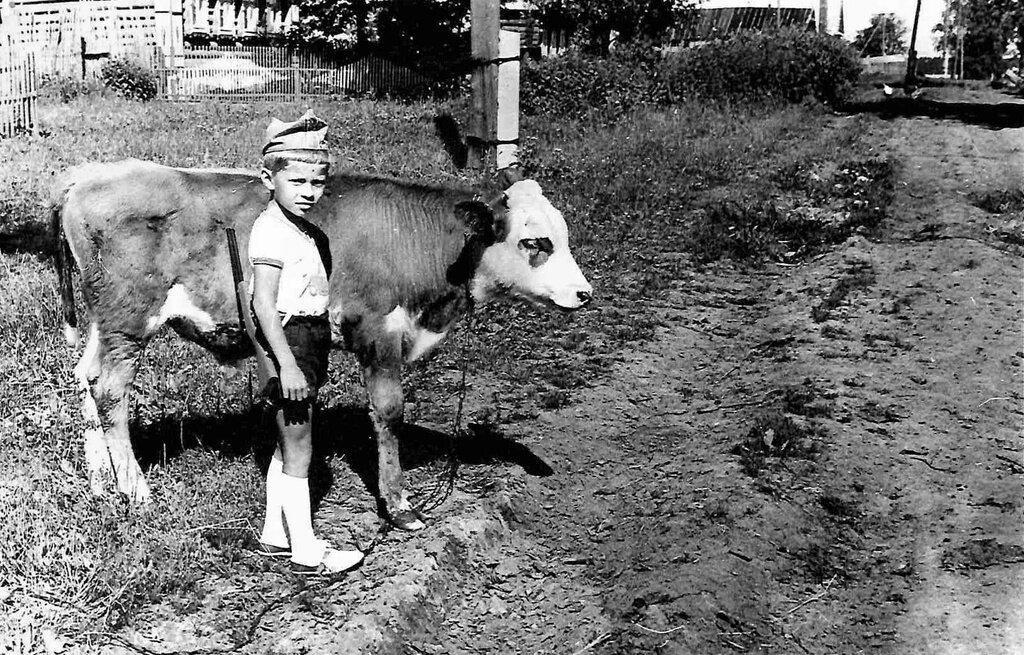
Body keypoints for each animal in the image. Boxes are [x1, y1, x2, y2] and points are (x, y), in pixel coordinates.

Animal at [51, 159, 598, 532]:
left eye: (564, 236)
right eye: (535, 242)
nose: (584, 293)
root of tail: (89, 176)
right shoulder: (378, 331)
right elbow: (388, 413)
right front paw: (399, 505)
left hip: (103, 324)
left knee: (86, 380)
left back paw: (101, 482)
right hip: (128, 322)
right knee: (111, 393)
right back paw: (135, 489)